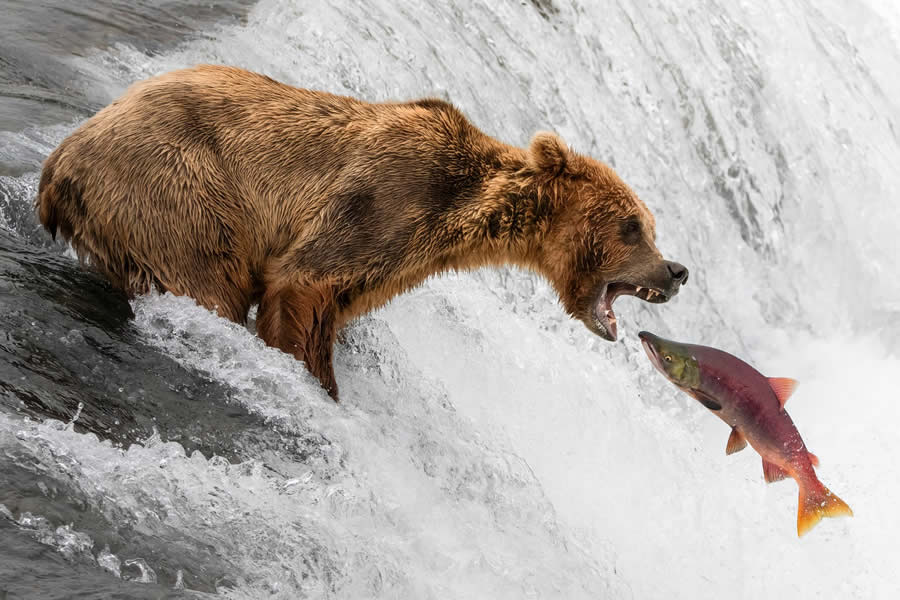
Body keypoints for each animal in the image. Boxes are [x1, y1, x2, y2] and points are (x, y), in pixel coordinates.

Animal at [37, 65, 688, 398]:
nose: (676, 271)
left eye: (650, 226)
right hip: (178, 187)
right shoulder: (382, 201)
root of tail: (61, 160)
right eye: (633, 226)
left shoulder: (394, 259)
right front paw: (317, 381)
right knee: (209, 282)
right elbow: (301, 285)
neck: (462, 213)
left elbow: (335, 308)